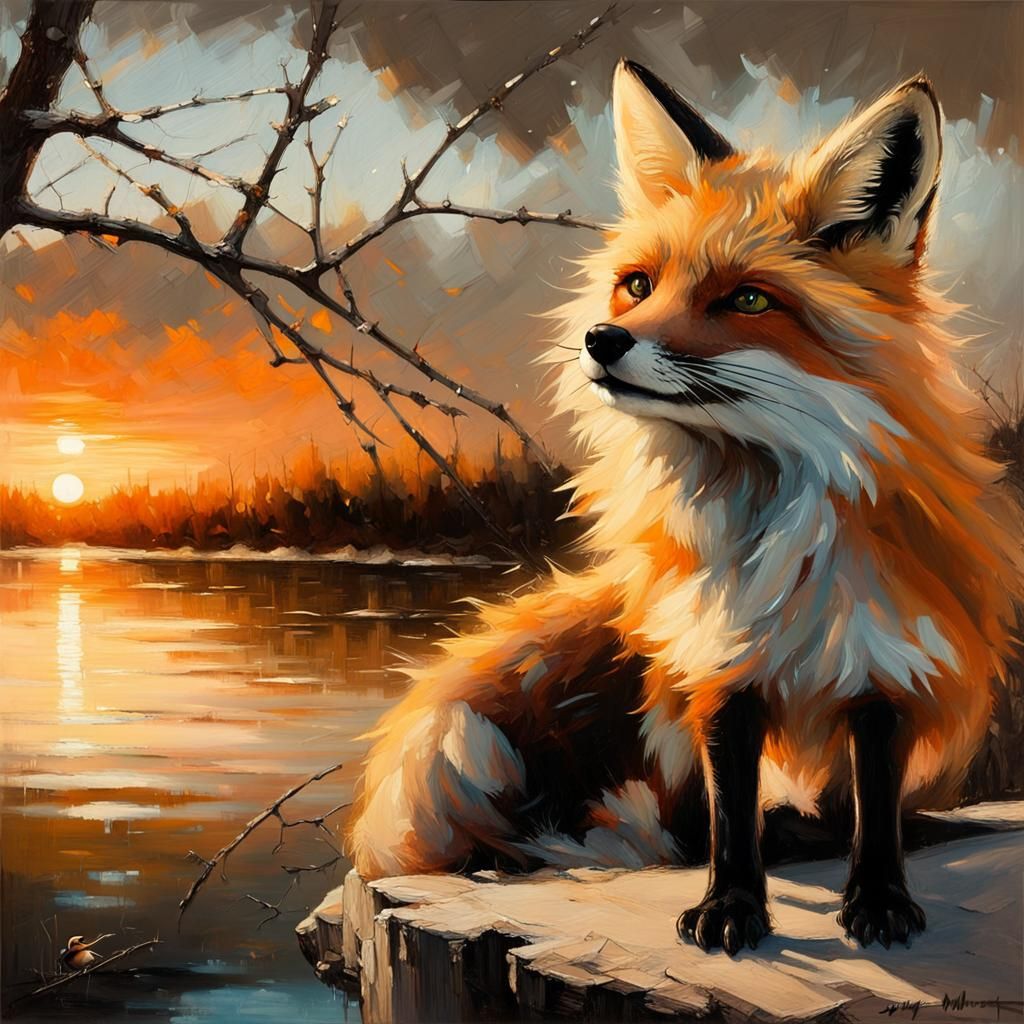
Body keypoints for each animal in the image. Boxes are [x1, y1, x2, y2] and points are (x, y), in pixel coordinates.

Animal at [348, 60, 1019, 955]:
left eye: (748, 300)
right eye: (637, 286)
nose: (601, 340)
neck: (769, 535)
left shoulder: (885, 660)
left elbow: (874, 810)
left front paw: (878, 902)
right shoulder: (715, 666)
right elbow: (732, 814)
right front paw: (730, 907)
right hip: (464, 742)